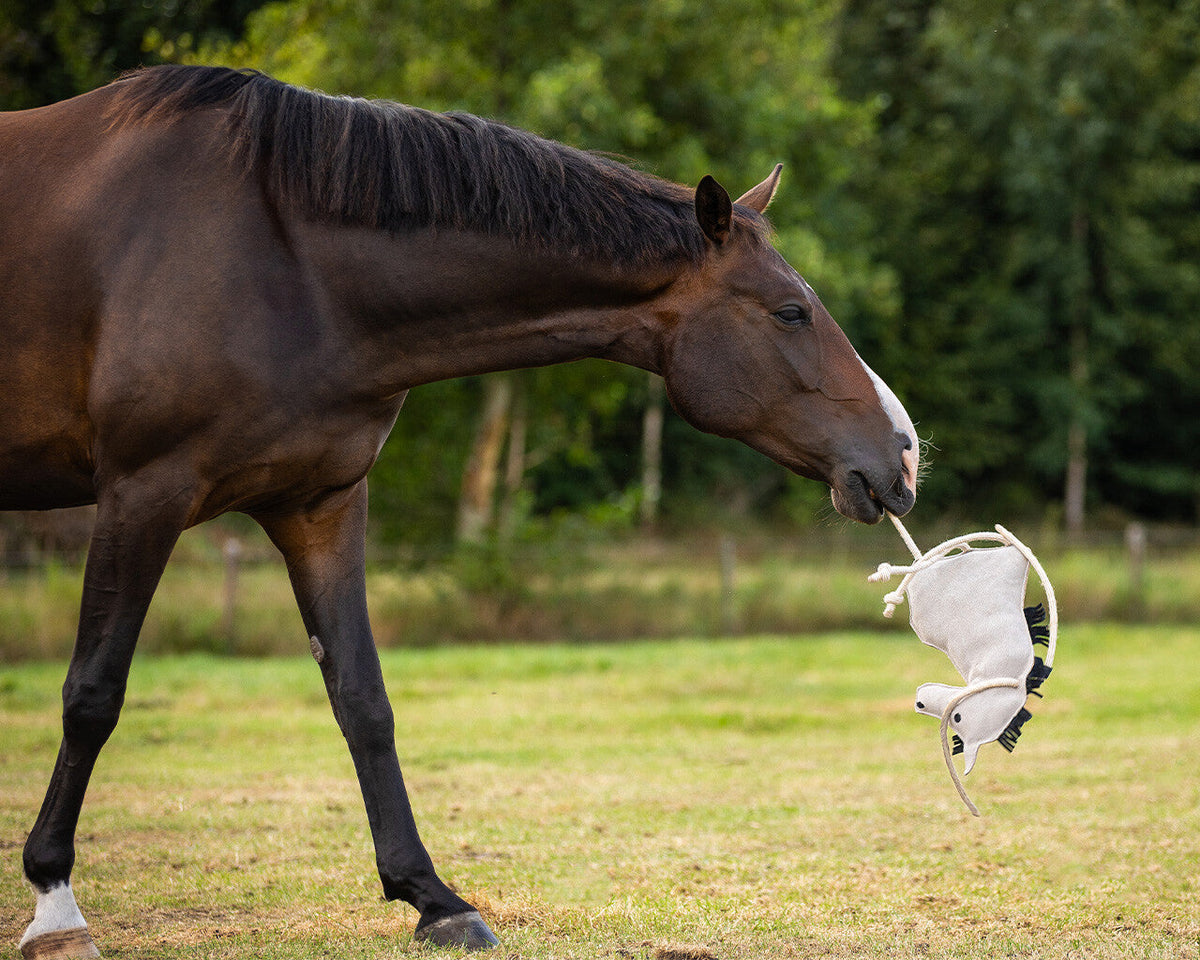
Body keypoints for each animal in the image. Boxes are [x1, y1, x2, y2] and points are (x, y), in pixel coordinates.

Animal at [1, 65, 917, 956]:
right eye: (791, 311)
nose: (905, 452)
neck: (282, 261)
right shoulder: (143, 491)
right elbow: (93, 693)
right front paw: (54, 902)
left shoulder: (319, 505)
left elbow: (363, 699)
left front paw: (432, 899)